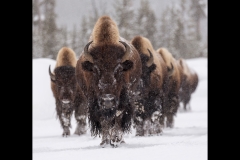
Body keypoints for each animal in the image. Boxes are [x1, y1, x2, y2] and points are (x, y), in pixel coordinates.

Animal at [75, 15, 142, 148]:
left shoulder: (123, 100)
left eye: (119, 69)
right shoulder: (95, 102)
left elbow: (118, 116)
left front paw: (115, 140)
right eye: (95, 70)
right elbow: (104, 120)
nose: (108, 100)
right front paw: (105, 142)